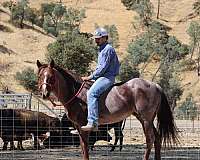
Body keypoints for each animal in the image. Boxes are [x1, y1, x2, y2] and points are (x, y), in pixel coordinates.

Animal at [36, 59, 179, 160]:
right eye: (40, 76)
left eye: (51, 76)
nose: (44, 94)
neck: (76, 92)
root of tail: (155, 85)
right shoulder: (77, 127)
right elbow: (83, 148)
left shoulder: (83, 127)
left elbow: (85, 148)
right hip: (144, 118)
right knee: (157, 138)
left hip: (146, 120)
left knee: (150, 140)